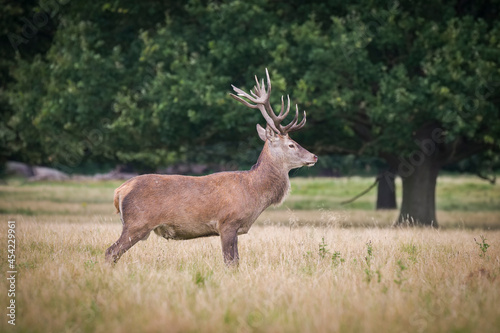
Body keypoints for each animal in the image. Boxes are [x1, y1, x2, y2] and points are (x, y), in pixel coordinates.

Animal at [105, 68, 316, 266]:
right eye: (291, 144)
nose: (314, 156)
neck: (253, 191)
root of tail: (119, 190)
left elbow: (236, 261)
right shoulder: (227, 222)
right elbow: (230, 262)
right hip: (137, 223)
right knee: (111, 252)